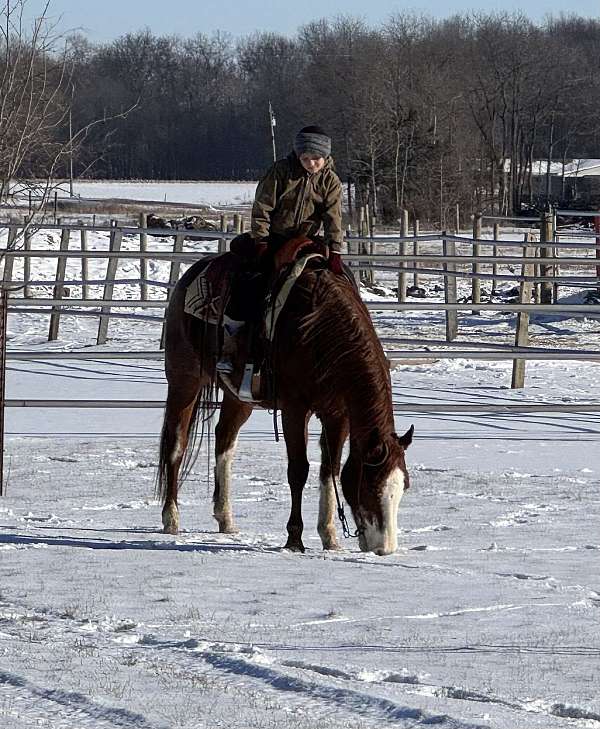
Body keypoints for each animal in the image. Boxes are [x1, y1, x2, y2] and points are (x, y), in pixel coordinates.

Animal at [157, 247, 414, 556]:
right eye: (372, 487)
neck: (318, 329)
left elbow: (330, 470)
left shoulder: (337, 414)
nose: (385, 548)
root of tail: (192, 274)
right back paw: (171, 518)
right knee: (176, 444)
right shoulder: (295, 408)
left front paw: (330, 536)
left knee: (224, 440)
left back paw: (226, 519)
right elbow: (298, 470)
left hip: (239, 397)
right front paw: (295, 538)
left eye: (404, 487)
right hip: (184, 381)